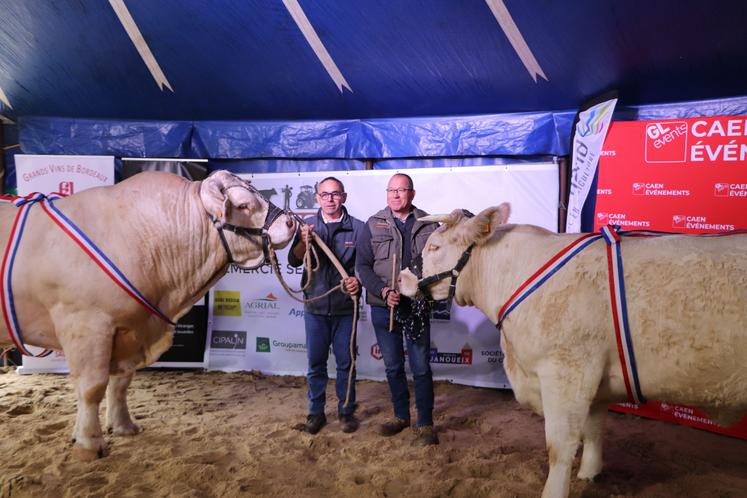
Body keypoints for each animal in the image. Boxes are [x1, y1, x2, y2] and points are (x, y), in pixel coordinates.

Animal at [0, 171, 298, 460]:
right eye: (244, 205)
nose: (291, 222)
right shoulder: (85, 324)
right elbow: (91, 386)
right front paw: (89, 444)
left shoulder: (130, 329)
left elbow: (121, 382)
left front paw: (123, 426)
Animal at [404, 204, 747, 498]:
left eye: (434, 247)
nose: (402, 277)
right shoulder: (595, 377)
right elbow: (593, 428)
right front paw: (589, 473)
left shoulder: (566, 368)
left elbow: (560, 445)